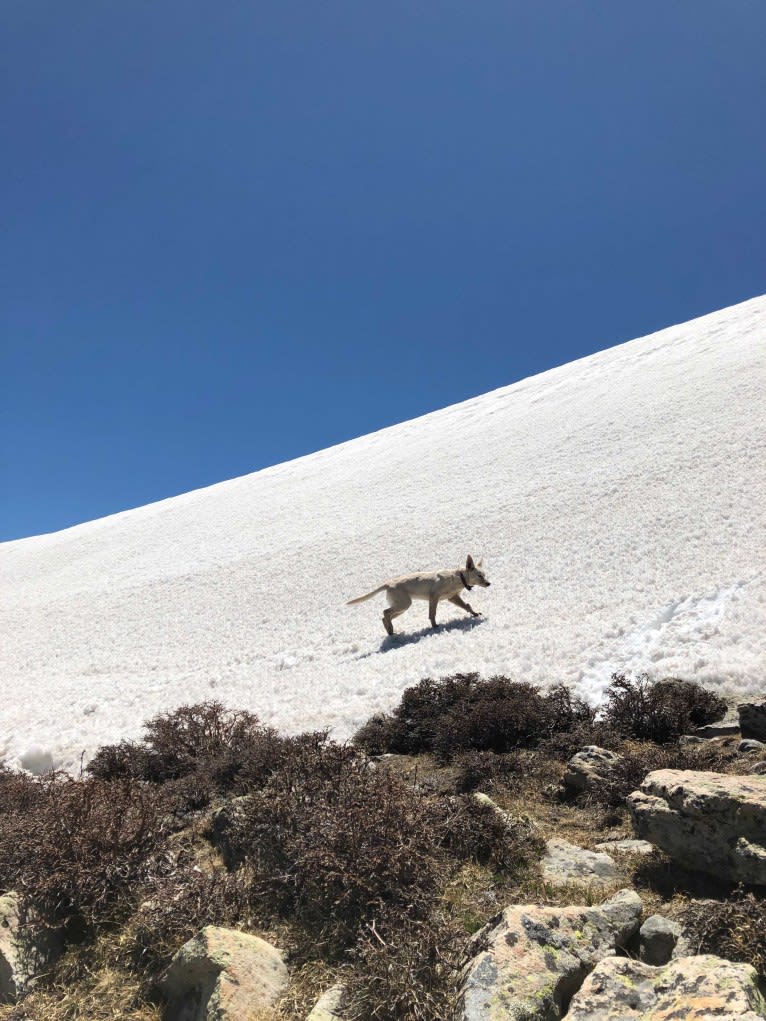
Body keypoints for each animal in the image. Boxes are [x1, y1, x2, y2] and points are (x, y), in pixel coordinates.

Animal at [347, 555, 492, 633]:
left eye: (485, 575)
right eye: (479, 575)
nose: (489, 583)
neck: (457, 577)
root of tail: (388, 583)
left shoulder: (452, 598)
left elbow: (467, 605)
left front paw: (475, 614)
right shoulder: (434, 597)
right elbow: (432, 614)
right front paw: (435, 627)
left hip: (401, 607)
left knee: (385, 616)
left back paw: (390, 631)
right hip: (404, 604)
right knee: (385, 612)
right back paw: (391, 630)